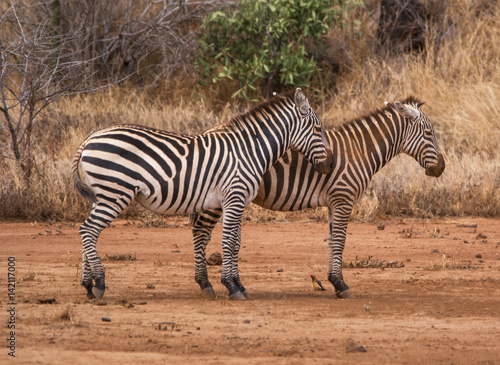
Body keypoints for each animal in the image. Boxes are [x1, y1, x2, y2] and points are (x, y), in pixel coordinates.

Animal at [72, 87, 334, 298]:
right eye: (318, 128)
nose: (331, 165)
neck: (251, 150)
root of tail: (89, 139)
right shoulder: (235, 197)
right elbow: (229, 242)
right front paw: (231, 286)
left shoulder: (237, 201)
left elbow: (236, 243)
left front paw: (238, 284)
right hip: (115, 192)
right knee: (89, 230)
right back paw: (99, 283)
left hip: (103, 195)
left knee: (88, 231)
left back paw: (88, 285)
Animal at [191, 97, 446, 298]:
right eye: (429, 133)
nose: (442, 168)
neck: (360, 150)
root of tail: (207, 132)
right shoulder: (343, 198)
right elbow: (341, 241)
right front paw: (341, 285)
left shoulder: (334, 202)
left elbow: (333, 241)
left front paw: (335, 281)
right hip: (215, 198)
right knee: (201, 232)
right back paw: (206, 284)